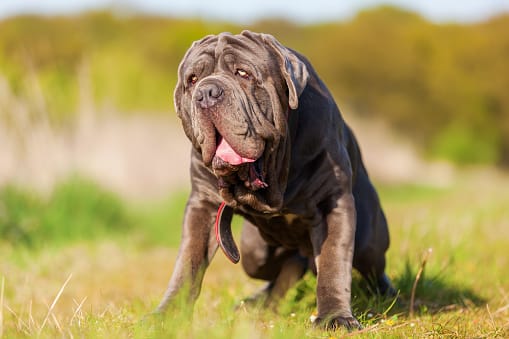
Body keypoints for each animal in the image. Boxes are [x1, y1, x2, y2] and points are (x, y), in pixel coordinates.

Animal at [155, 30, 392, 330]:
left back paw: (386, 293)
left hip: (368, 241)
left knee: (372, 266)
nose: (207, 93)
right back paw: (256, 301)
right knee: (284, 268)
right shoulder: (203, 205)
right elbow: (188, 263)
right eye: (193, 80)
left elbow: (333, 262)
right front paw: (167, 315)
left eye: (243, 73)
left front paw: (335, 317)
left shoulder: (331, 203)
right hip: (254, 253)